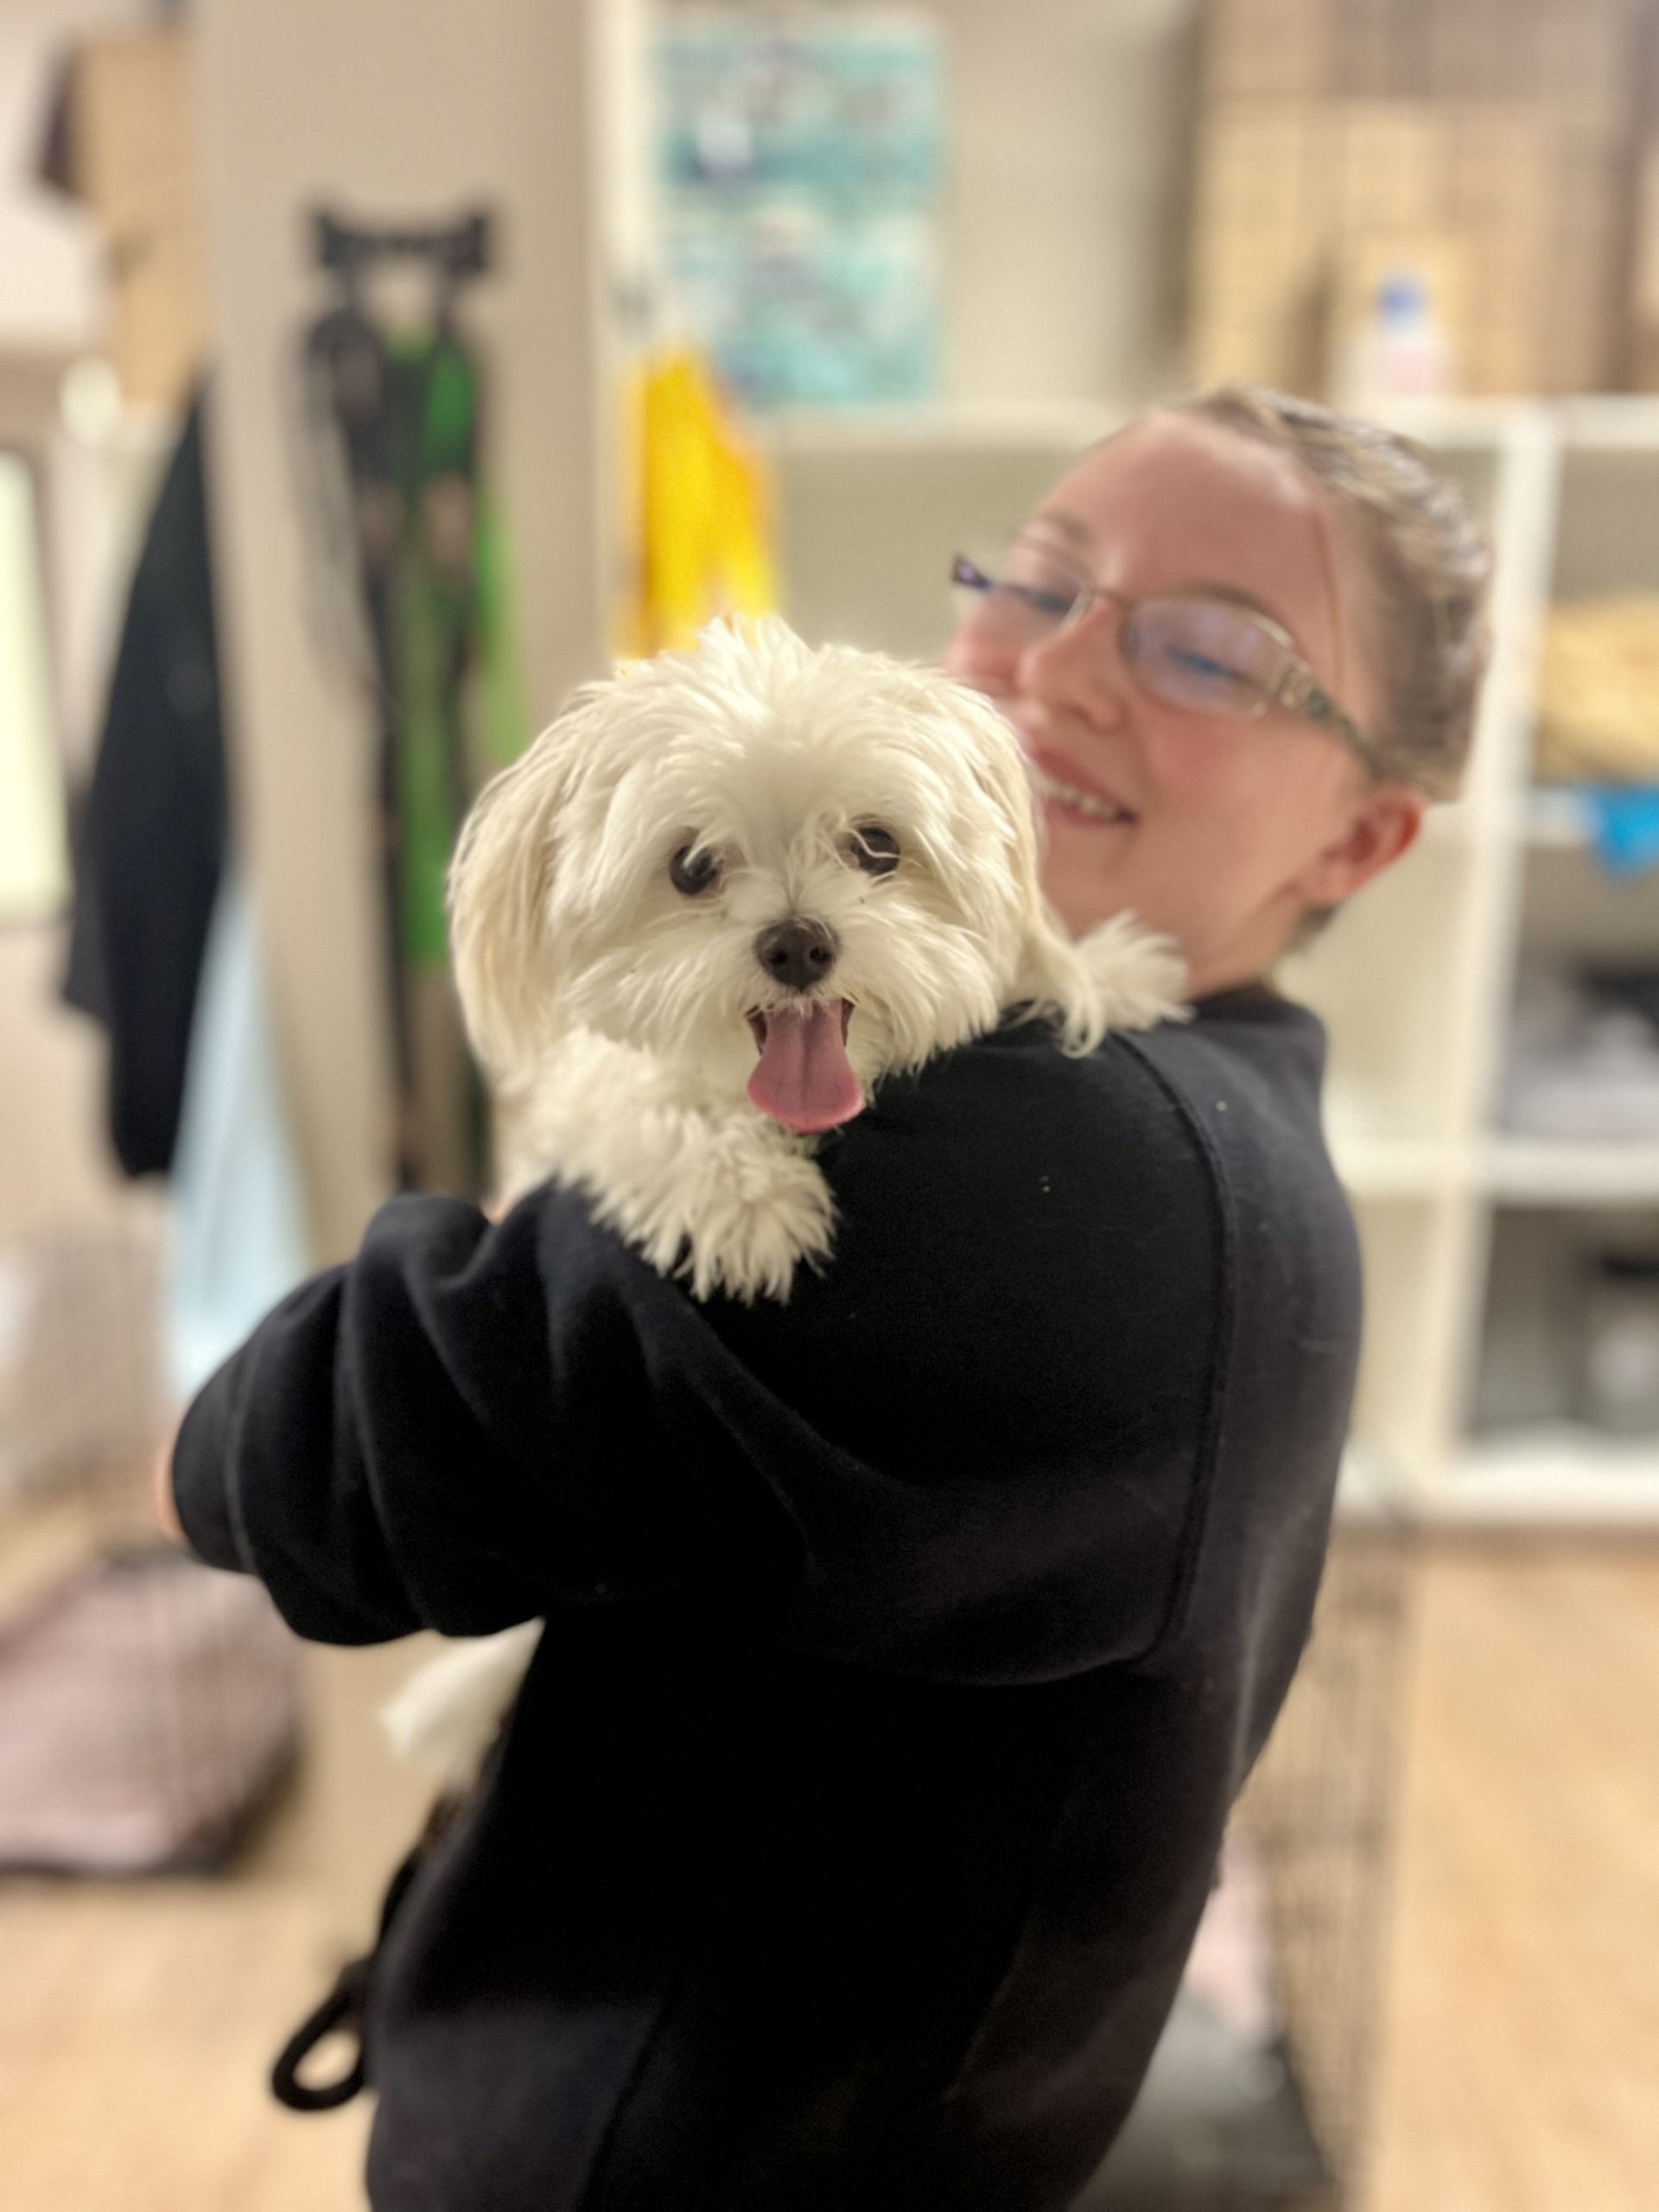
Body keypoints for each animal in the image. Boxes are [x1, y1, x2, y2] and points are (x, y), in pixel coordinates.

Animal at [382, 619, 1185, 1778]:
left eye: (878, 845)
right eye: (691, 866)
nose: (798, 942)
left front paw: (1112, 970)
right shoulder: (592, 1094)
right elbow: (648, 1107)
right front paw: (750, 1201)